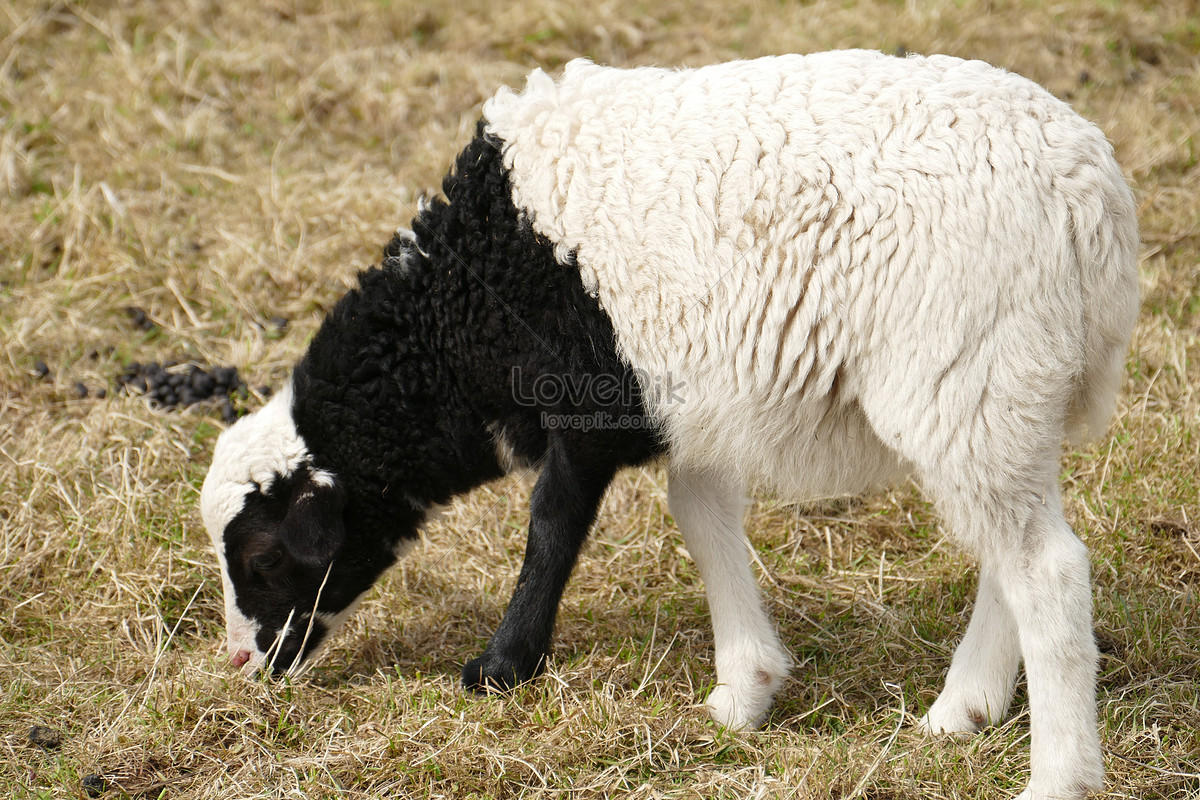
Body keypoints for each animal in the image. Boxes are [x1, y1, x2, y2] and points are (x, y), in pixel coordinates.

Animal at [201, 51, 1137, 800]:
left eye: (263, 555)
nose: (243, 664)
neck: (465, 309)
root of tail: (1094, 198)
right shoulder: (690, 400)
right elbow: (702, 516)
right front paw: (744, 689)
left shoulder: (587, 397)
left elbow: (552, 527)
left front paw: (501, 668)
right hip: (1009, 393)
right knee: (1014, 555)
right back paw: (961, 710)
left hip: (966, 379)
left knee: (1047, 571)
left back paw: (1059, 776)